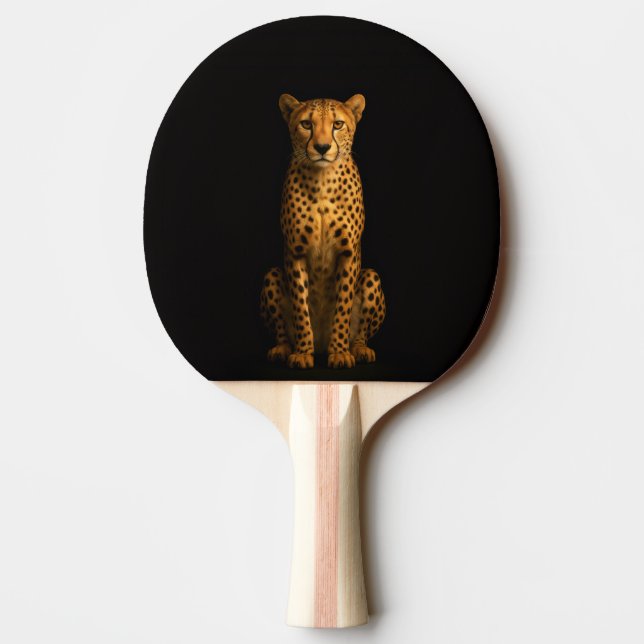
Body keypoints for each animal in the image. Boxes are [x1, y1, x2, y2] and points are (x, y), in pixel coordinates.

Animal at [260, 93, 385, 369]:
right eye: (307, 124)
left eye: (337, 124)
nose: (322, 147)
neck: (323, 180)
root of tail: (321, 344)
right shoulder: (295, 252)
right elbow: (300, 306)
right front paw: (302, 352)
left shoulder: (348, 253)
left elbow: (343, 305)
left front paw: (339, 352)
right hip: (272, 274)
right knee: (282, 332)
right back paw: (283, 349)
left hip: (371, 276)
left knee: (360, 333)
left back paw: (359, 349)